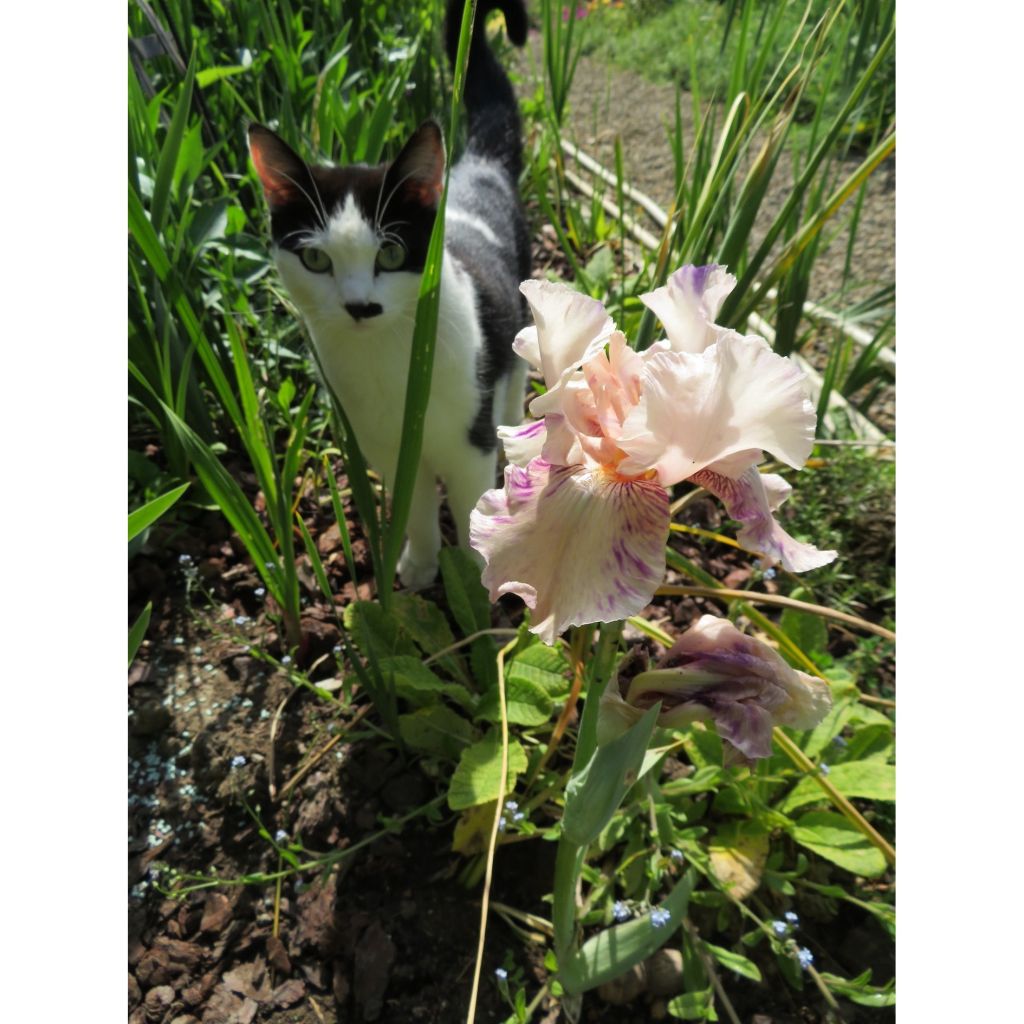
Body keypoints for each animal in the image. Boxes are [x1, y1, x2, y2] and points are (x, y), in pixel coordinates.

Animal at [249, 0, 528, 589]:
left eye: (393, 254)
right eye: (316, 259)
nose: (360, 305)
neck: (390, 366)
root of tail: (478, 164)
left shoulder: (469, 446)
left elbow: (468, 503)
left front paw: (477, 579)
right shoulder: (390, 452)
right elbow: (416, 510)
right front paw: (420, 566)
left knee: (516, 367)